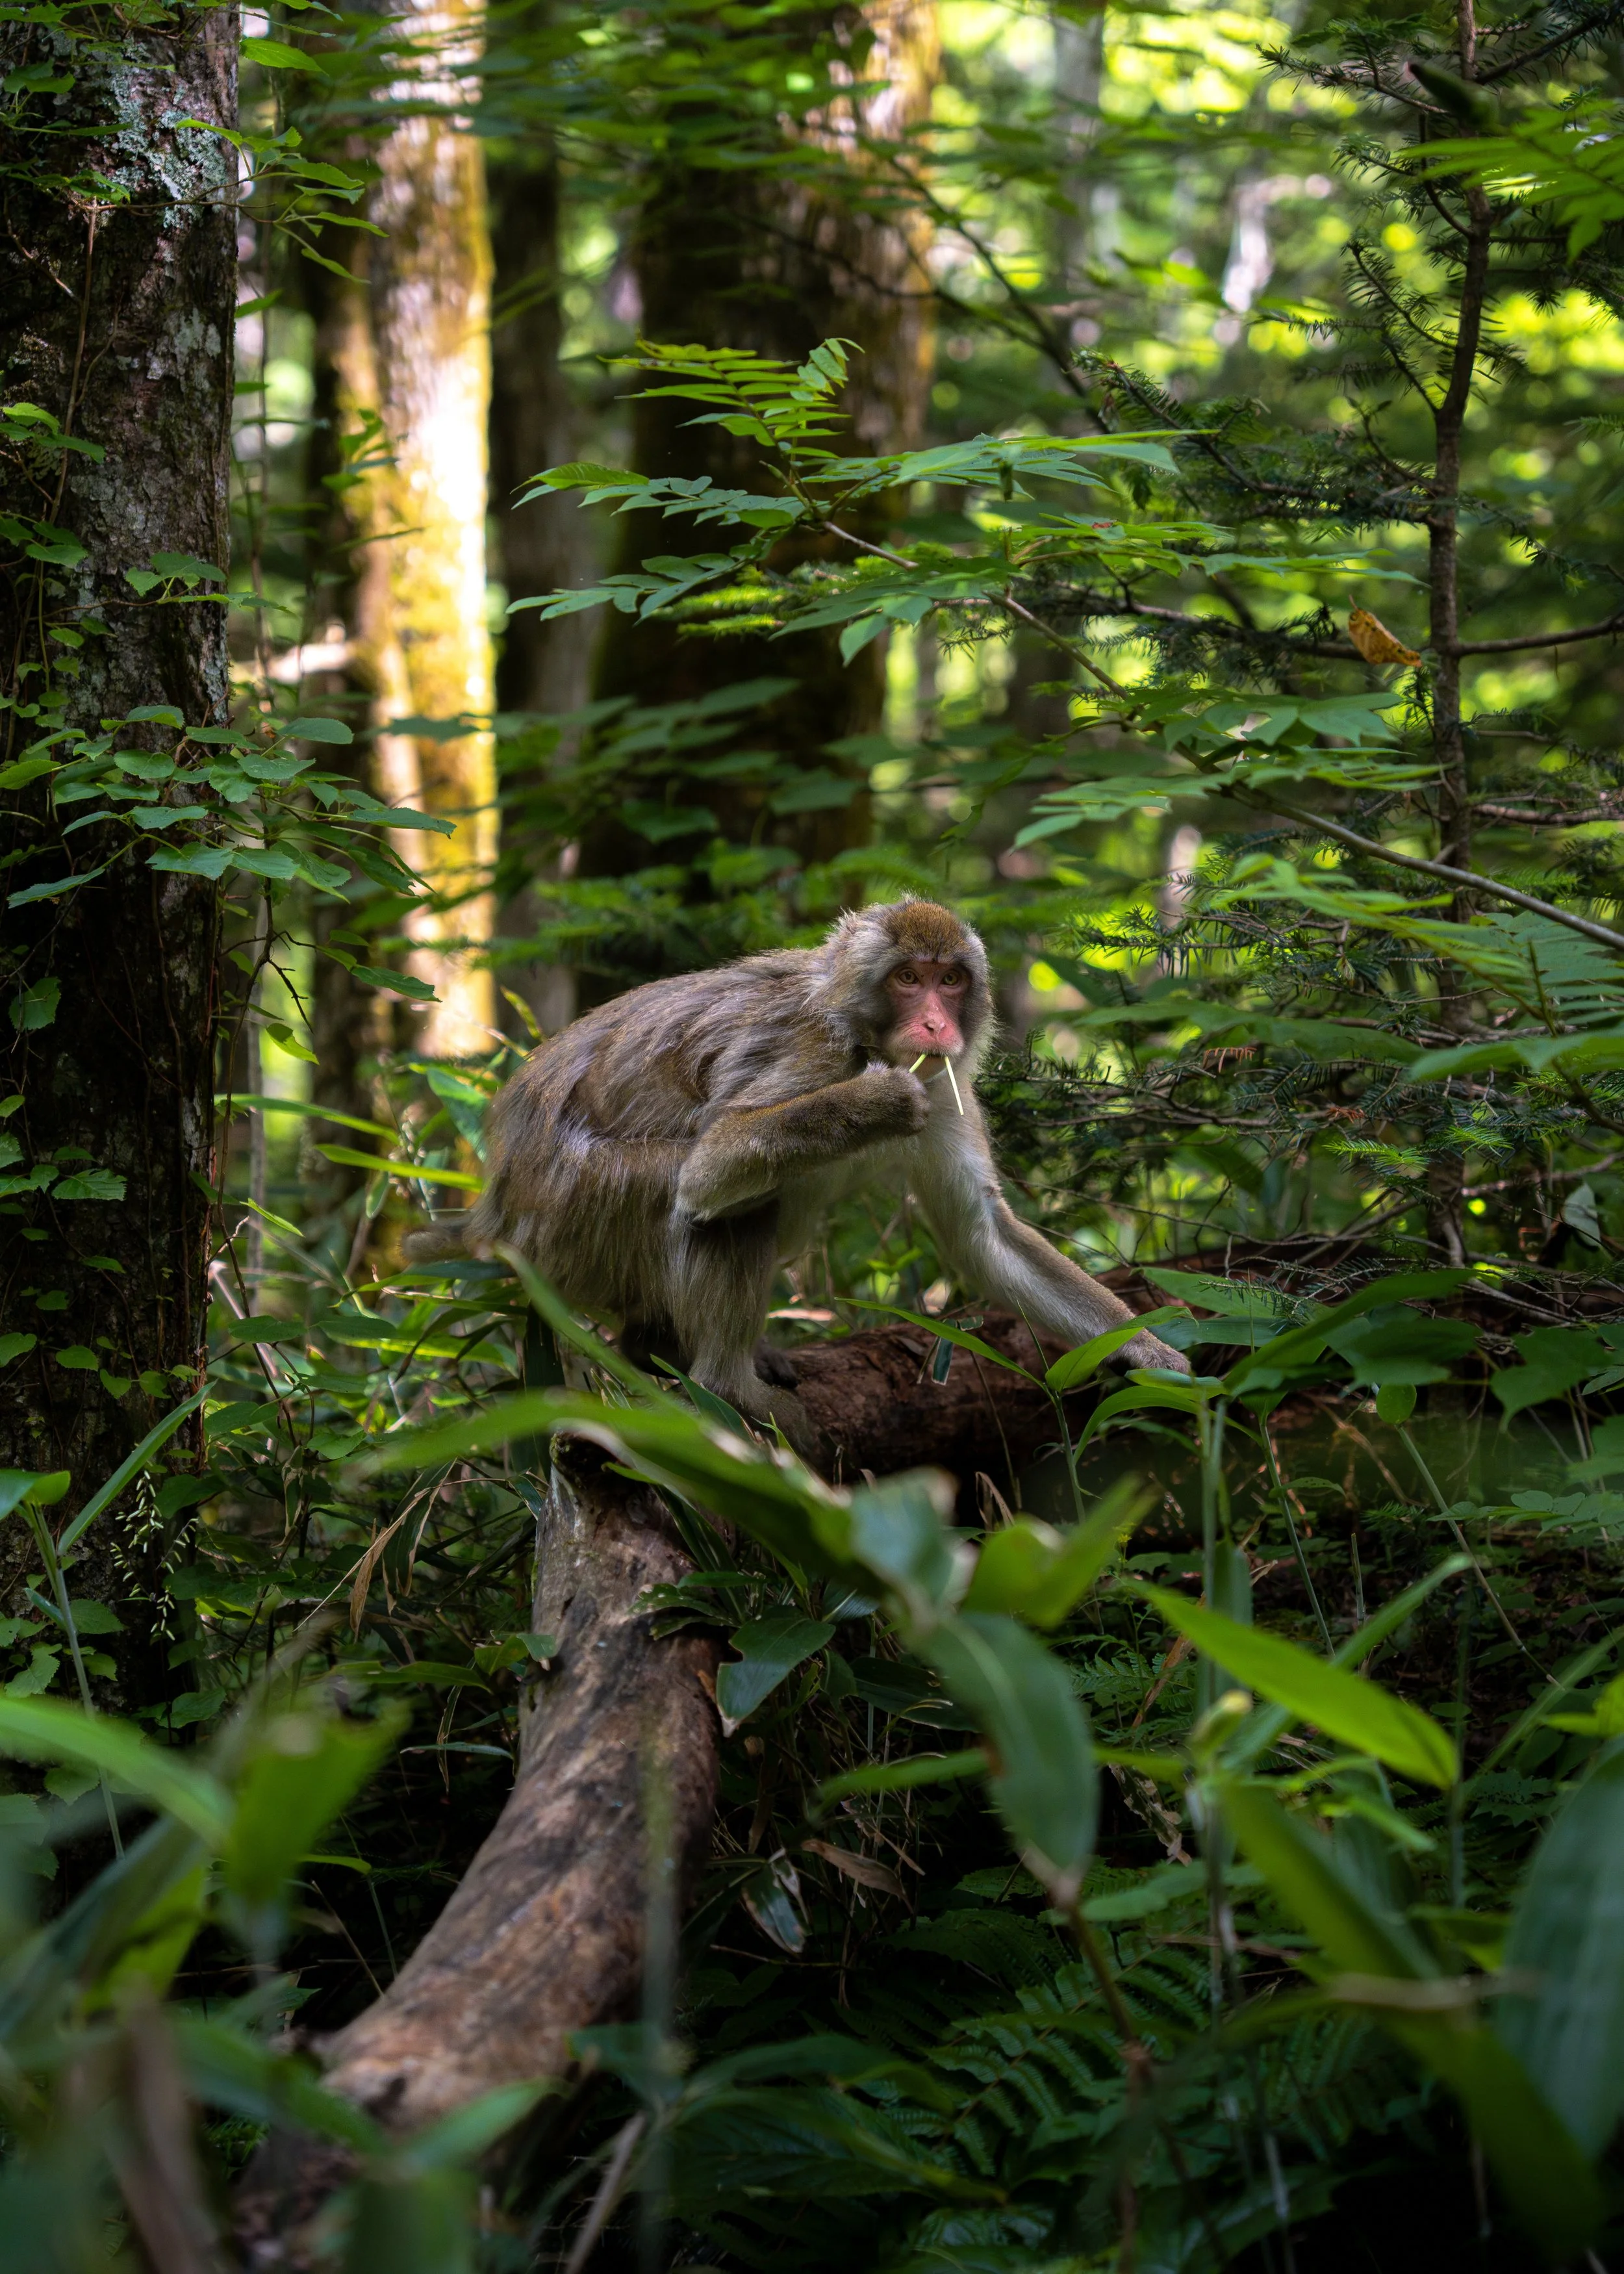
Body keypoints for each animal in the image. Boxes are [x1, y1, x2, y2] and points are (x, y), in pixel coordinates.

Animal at [405, 899, 1189, 1455]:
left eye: (951, 979)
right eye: (908, 978)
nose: (937, 1025)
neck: (865, 1033)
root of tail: (496, 1212)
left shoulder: (945, 1087)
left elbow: (983, 1235)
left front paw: (1142, 1347)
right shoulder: (817, 1051)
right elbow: (711, 1165)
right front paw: (872, 1105)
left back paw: (660, 1347)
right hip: (572, 1215)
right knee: (716, 1200)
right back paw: (727, 1386)